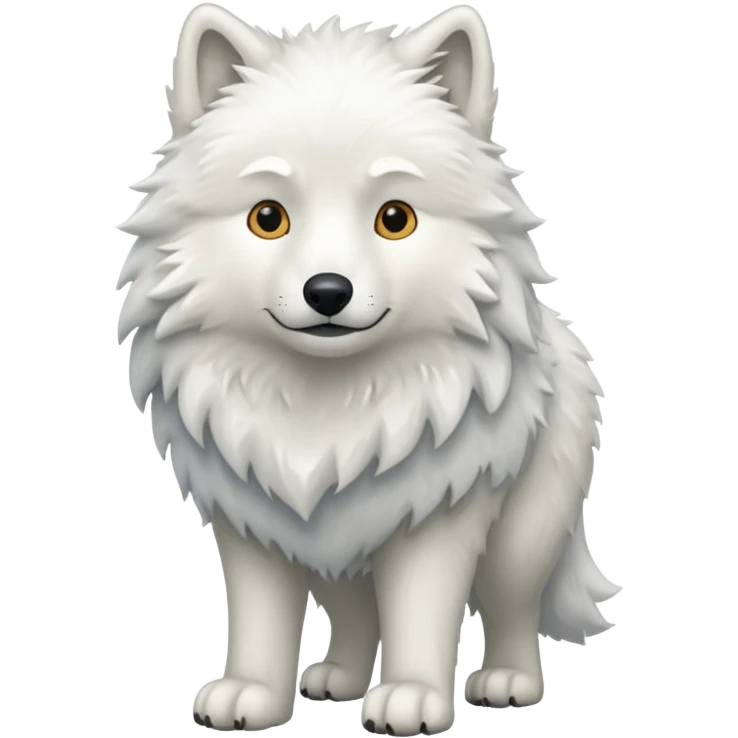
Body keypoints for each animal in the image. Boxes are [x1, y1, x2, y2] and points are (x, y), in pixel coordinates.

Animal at [115, 4, 619, 734]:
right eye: (268, 218)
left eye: (395, 218)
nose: (328, 291)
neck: (327, 408)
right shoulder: (250, 522)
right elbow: (260, 620)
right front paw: (250, 694)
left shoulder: (436, 517)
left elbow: (421, 615)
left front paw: (412, 698)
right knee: (356, 614)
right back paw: (338, 681)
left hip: (521, 537)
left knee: (511, 608)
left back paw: (508, 682)